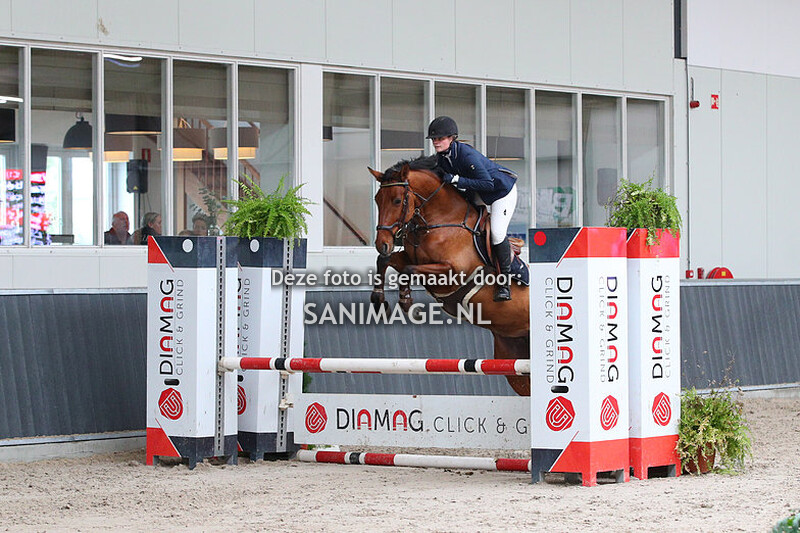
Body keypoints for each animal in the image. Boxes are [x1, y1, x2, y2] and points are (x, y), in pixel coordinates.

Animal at [369, 156, 530, 396]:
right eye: (377, 200)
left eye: (397, 201)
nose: (382, 243)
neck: (439, 221)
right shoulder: (408, 257)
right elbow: (385, 261)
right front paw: (379, 299)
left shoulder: (451, 272)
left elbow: (408, 271)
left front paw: (407, 302)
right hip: (515, 359)